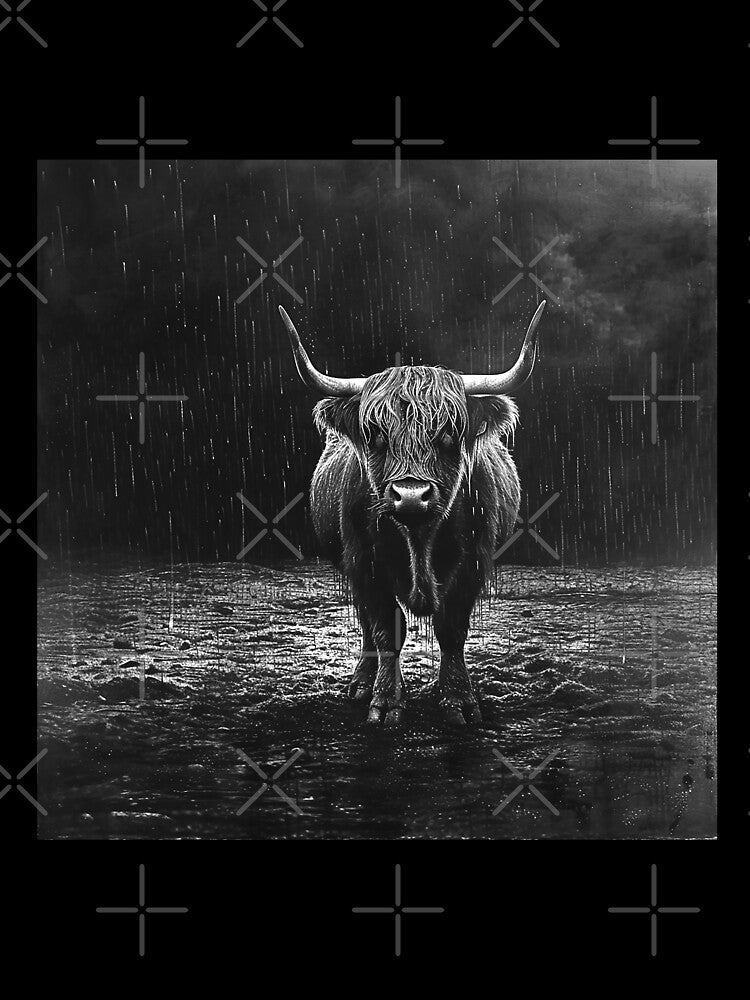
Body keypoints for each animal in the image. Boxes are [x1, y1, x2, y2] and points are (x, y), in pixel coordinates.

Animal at [278, 301, 546, 727]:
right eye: (376, 434)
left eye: (449, 432)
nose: (410, 496)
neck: (419, 540)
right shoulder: (363, 562)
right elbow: (386, 630)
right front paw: (386, 701)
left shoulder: (473, 563)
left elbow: (451, 628)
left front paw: (457, 700)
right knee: (369, 625)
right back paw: (361, 683)